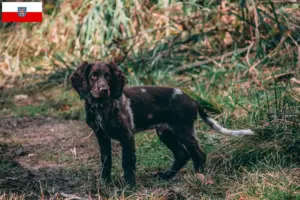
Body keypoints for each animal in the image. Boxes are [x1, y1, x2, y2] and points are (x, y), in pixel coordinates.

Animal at [69, 61, 253, 186]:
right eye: (93, 76)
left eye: (108, 76)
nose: (103, 90)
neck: (102, 106)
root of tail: (192, 99)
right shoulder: (101, 135)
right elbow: (106, 160)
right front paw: (104, 182)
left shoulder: (127, 135)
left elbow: (127, 161)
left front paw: (129, 187)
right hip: (165, 133)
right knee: (182, 154)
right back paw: (166, 176)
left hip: (183, 130)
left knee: (198, 154)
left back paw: (199, 177)